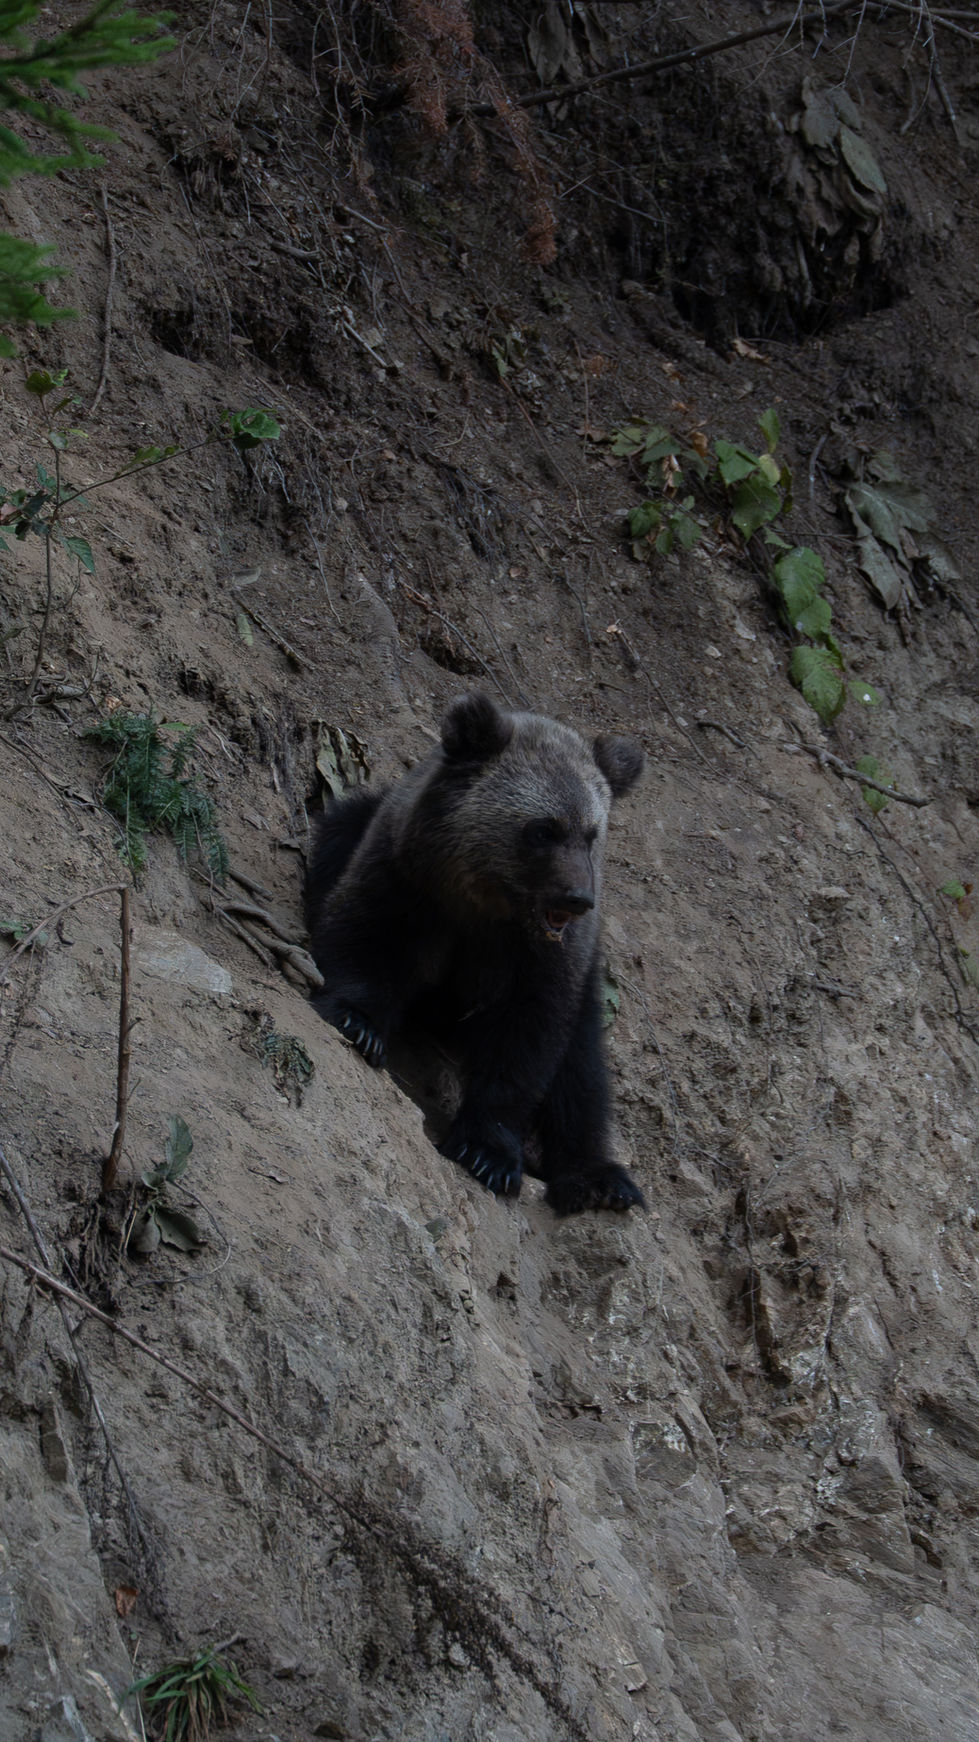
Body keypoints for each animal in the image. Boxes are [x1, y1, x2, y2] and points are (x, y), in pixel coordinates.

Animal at [305, 691, 645, 1216]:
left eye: (591, 834)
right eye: (544, 830)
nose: (577, 899)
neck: (485, 901)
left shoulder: (547, 959)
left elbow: (529, 1038)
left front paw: (487, 1153)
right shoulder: (406, 878)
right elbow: (364, 936)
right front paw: (357, 1023)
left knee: (582, 1070)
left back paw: (599, 1179)